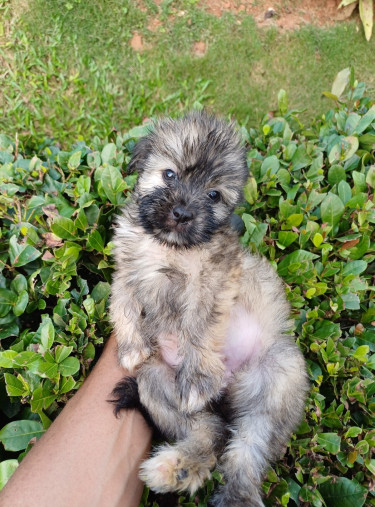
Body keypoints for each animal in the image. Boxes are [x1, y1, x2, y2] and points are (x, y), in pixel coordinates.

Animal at [110, 113, 310, 506]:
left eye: (213, 195)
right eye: (169, 175)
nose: (182, 213)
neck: (169, 247)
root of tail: (227, 390)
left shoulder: (212, 282)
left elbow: (199, 328)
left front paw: (198, 376)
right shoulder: (128, 269)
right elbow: (122, 304)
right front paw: (132, 347)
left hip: (276, 378)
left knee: (247, 451)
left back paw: (228, 490)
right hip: (156, 382)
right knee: (211, 431)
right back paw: (179, 468)